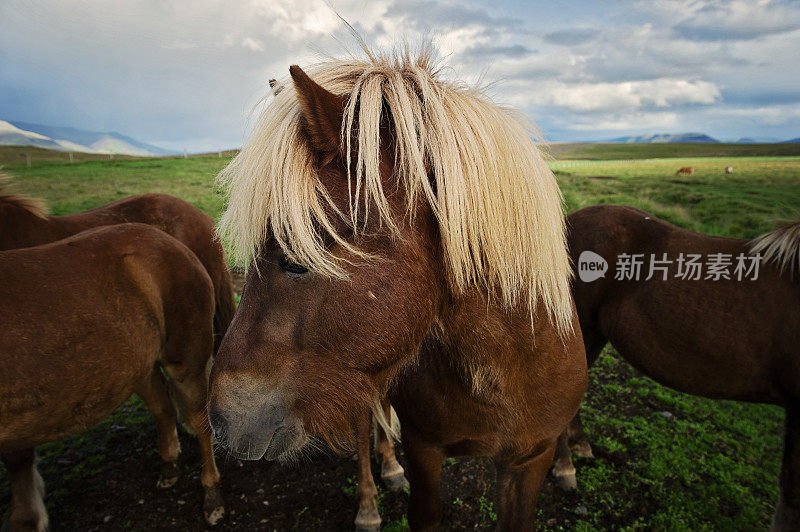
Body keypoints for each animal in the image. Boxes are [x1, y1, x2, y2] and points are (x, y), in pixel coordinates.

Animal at [1, 224, 223, 532]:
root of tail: (170, 241)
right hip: (139, 366)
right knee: (163, 407)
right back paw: (168, 467)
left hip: (185, 364)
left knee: (200, 423)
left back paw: (212, 498)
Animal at [203, 48, 584, 528]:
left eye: (294, 258)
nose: (221, 420)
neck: (506, 368)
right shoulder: (425, 450)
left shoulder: (530, 458)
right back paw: (370, 499)